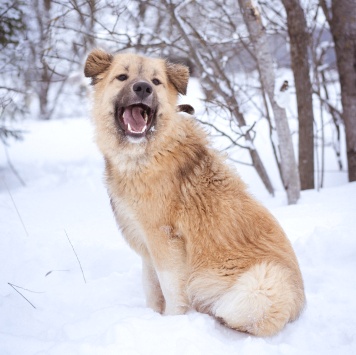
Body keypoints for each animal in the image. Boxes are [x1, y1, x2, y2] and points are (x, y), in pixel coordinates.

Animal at [85, 49, 304, 336]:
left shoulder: (164, 240)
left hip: (262, 283)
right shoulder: (146, 244)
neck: (148, 153)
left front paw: (171, 322)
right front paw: (152, 317)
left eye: (155, 82)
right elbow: (151, 288)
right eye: (122, 77)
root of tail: (300, 308)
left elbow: (171, 290)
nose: (142, 88)